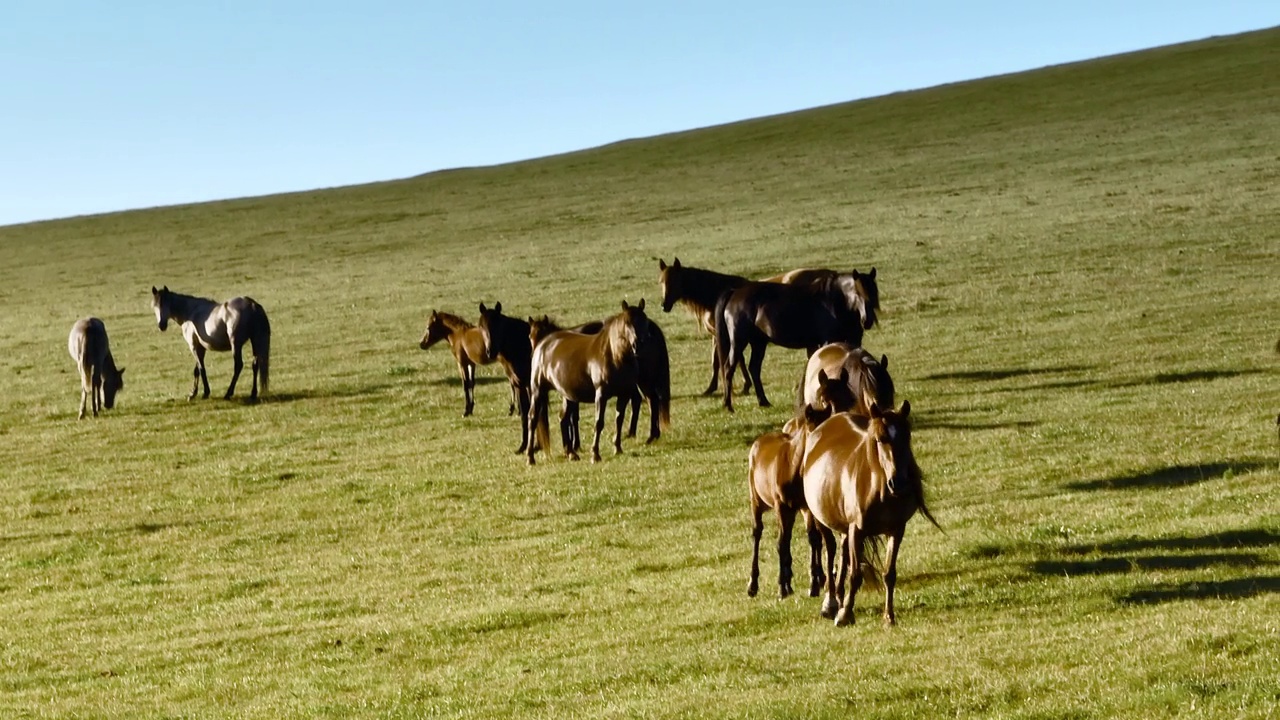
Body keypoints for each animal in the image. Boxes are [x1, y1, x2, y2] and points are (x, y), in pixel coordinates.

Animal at [747, 366, 860, 597]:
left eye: (849, 398)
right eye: (823, 397)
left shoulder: (807, 507)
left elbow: (815, 538)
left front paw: (817, 582)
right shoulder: (782, 506)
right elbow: (782, 543)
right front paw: (782, 586)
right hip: (757, 500)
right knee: (757, 533)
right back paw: (754, 584)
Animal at [798, 399, 942, 625]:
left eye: (906, 437)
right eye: (880, 439)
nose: (898, 483)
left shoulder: (896, 530)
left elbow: (889, 574)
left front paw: (889, 616)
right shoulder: (857, 530)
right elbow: (855, 575)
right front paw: (845, 614)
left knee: (842, 551)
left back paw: (840, 597)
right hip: (823, 520)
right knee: (830, 551)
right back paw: (831, 603)